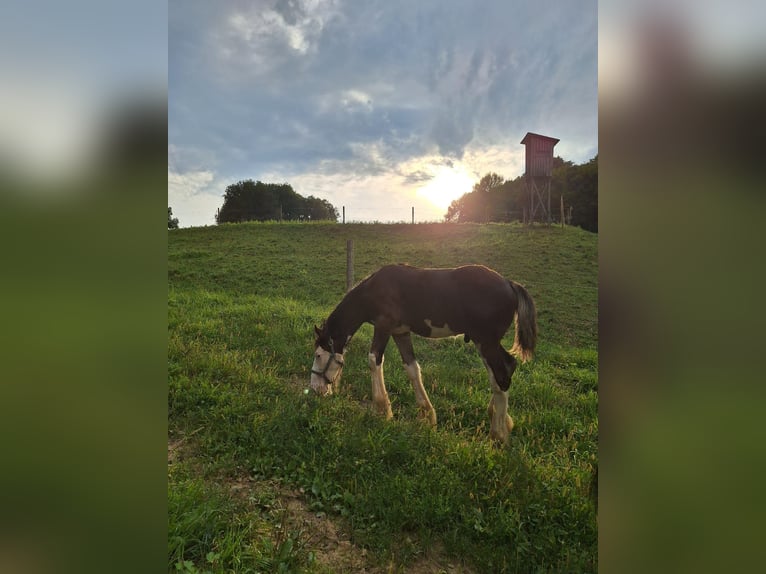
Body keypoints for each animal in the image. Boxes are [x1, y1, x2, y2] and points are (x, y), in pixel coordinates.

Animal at [308, 264, 536, 444]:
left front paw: (382, 411)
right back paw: (500, 419)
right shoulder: (400, 332)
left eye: (318, 355)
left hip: (486, 341)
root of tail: (509, 284)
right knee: (504, 370)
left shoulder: (383, 327)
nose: (316, 389)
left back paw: (498, 434)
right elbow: (412, 369)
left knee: (502, 374)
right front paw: (427, 416)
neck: (374, 289)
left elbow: (374, 360)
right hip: (485, 343)